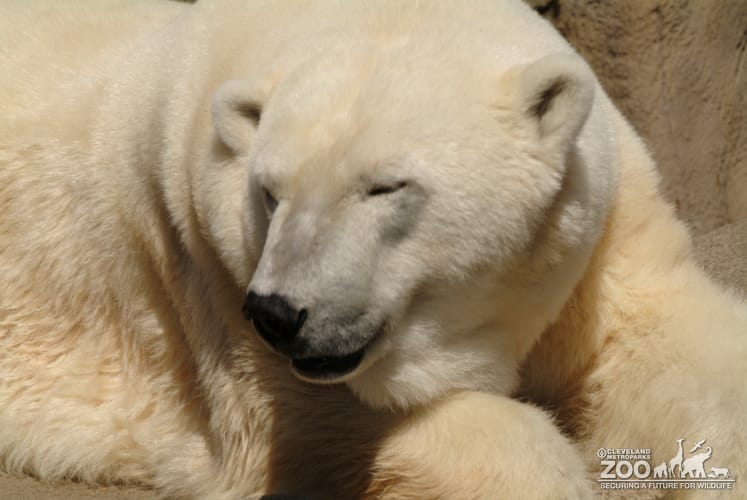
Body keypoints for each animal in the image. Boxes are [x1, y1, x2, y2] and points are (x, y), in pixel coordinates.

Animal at [1, 1, 745, 499]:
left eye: (384, 187)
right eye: (269, 193)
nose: (277, 313)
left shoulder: (599, 229)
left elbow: (667, 342)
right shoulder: (212, 273)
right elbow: (326, 425)